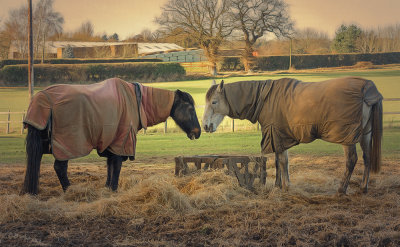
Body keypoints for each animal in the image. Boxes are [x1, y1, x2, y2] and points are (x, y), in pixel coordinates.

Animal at [21, 78, 200, 194]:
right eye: (190, 108)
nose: (198, 132)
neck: (137, 101)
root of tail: (42, 99)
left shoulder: (111, 143)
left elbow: (109, 166)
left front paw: (108, 188)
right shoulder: (122, 142)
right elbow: (117, 166)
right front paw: (114, 188)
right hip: (65, 146)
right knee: (60, 168)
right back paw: (69, 190)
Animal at [205, 77, 382, 195]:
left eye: (214, 102)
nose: (206, 126)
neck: (265, 99)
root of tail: (367, 88)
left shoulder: (277, 135)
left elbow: (282, 162)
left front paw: (286, 186)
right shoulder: (278, 137)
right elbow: (280, 161)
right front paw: (278, 185)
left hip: (347, 138)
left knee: (351, 160)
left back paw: (341, 189)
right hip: (365, 134)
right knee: (367, 158)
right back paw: (363, 187)